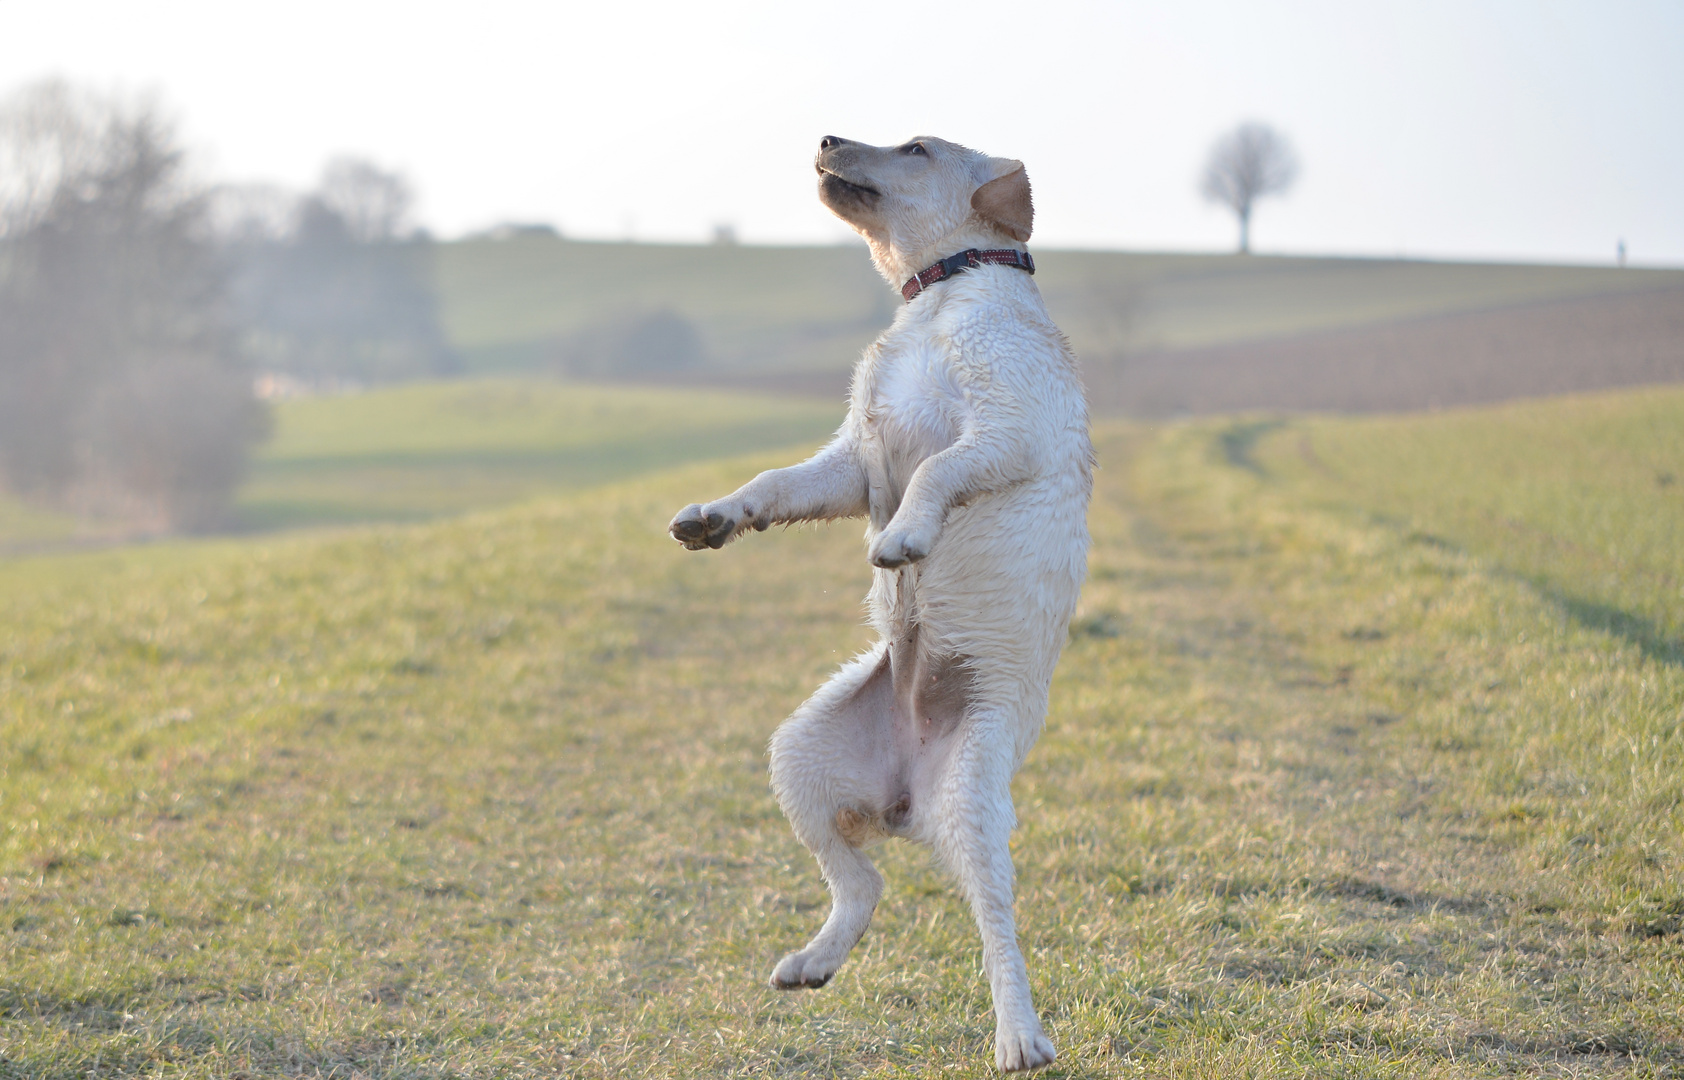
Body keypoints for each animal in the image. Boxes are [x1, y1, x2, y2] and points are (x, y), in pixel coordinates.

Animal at [670, 134, 1091, 1071]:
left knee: (997, 932)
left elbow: (934, 471)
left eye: (916, 147)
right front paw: (716, 517)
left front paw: (904, 538)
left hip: (973, 796)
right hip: (799, 757)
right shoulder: (850, 462)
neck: (938, 295)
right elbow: (777, 482)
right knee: (862, 884)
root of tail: (905, 799)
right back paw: (812, 961)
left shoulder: (1006, 428)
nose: (826, 139)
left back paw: (1020, 1037)